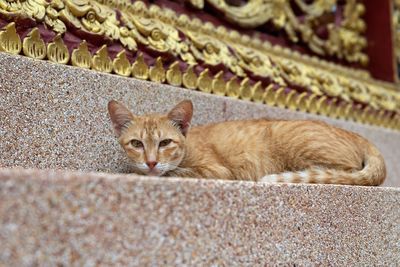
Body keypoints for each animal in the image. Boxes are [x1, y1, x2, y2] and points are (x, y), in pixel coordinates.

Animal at [108, 99, 386, 185]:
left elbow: (175, 172)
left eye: (165, 143)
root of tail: (357, 135)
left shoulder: (217, 171)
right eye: (136, 144)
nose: (151, 162)